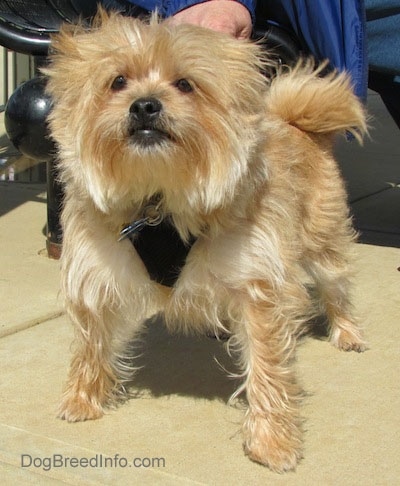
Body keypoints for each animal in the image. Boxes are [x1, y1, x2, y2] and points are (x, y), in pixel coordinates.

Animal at [43, 7, 366, 470]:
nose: (145, 104)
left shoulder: (259, 285)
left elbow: (267, 364)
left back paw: (348, 332)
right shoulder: (94, 274)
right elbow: (92, 340)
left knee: (336, 286)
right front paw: (84, 398)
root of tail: (296, 124)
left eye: (185, 84)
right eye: (118, 81)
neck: (159, 201)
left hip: (322, 243)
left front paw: (272, 441)